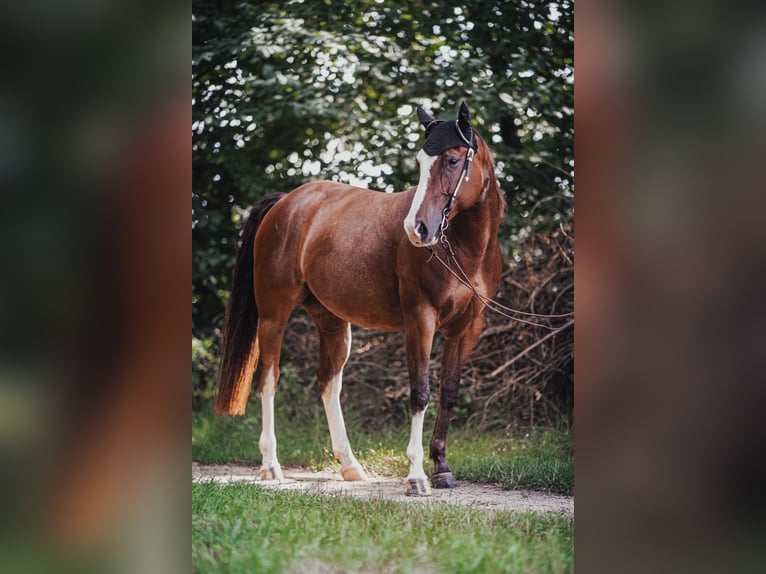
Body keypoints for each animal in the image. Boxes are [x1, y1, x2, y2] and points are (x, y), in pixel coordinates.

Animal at [214, 102, 505, 495]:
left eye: (453, 160)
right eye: (420, 162)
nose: (417, 229)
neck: (463, 251)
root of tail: (285, 202)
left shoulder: (468, 328)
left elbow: (448, 392)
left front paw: (442, 469)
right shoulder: (421, 320)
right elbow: (420, 392)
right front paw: (416, 475)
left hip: (333, 322)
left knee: (328, 383)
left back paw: (350, 465)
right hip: (274, 314)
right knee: (269, 379)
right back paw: (271, 466)